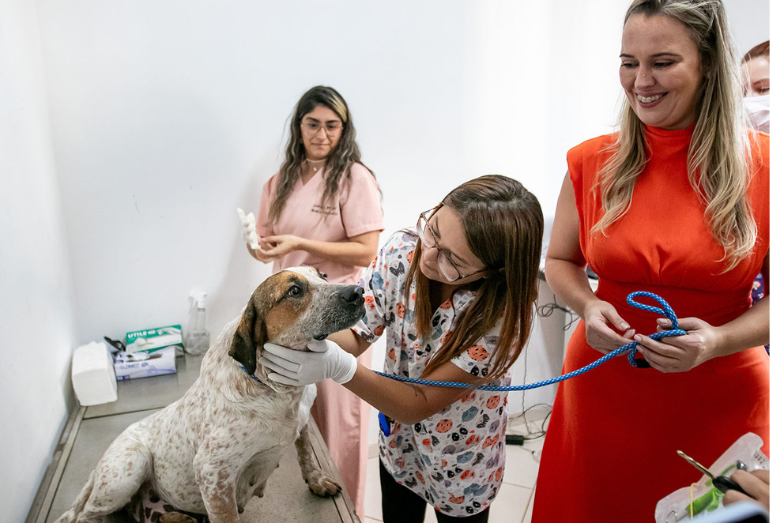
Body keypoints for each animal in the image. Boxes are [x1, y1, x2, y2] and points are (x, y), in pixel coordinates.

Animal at [54, 268, 366, 523]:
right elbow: (226, 515)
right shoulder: (213, 473)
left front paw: (316, 481)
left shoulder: (302, 426)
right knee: (85, 514)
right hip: (131, 466)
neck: (276, 389)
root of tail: (96, 471)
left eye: (323, 275)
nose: (359, 292)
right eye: (295, 291)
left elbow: (306, 455)